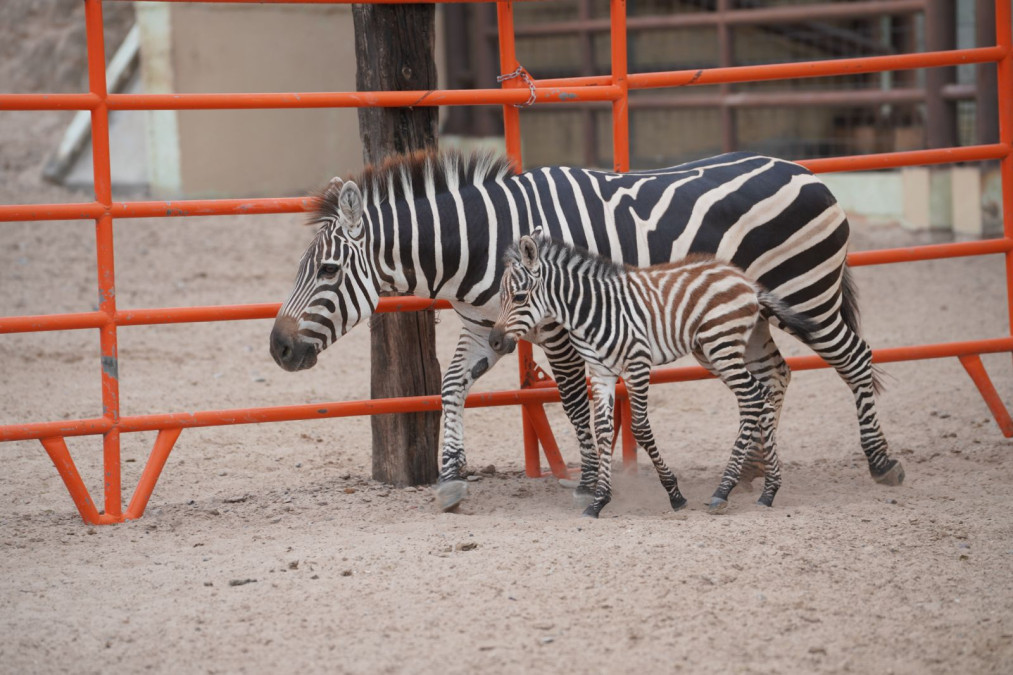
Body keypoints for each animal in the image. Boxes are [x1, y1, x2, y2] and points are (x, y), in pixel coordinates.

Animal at [488, 234, 820, 517]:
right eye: (501, 297)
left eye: (519, 297)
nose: (494, 342)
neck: (592, 311)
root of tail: (746, 280)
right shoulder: (601, 373)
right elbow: (603, 429)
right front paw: (599, 501)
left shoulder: (637, 365)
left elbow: (640, 429)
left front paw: (674, 494)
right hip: (718, 350)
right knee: (760, 395)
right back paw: (769, 491)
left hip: (721, 344)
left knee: (752, 397)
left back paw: (723, 491)